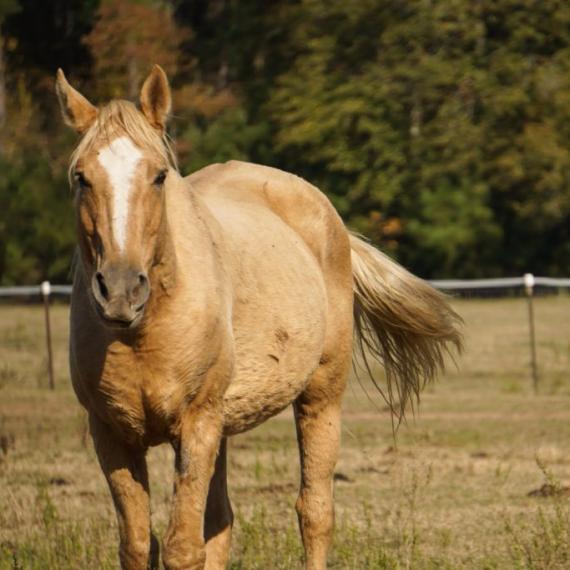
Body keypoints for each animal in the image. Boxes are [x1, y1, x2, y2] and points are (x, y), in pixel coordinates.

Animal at [54, 64, 462, 564]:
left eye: (159, 176)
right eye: (81, 177)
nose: (120, 289)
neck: (144, 333)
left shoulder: (197, 425)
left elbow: (183, 549)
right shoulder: (112, 435)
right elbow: (137, 547)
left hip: (321, 396)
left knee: (315, 511)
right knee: (221, 521)